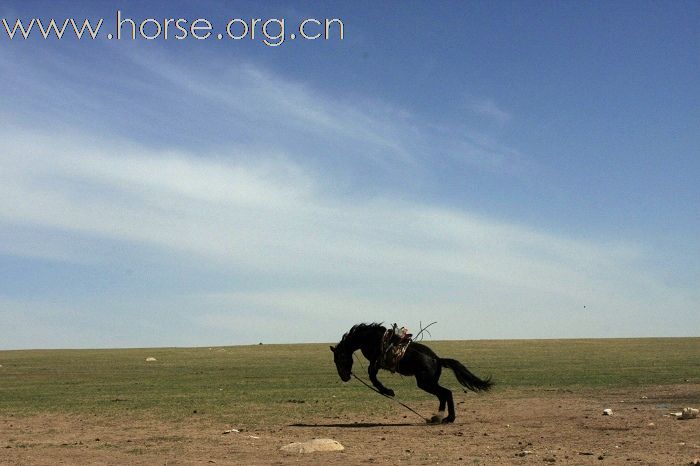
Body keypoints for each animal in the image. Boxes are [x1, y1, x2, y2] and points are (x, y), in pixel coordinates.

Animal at [330, 324, 490, 422]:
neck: (370, 338)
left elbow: (372, 376)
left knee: (446, 393)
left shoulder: (376, 362)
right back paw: (439, 417)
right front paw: (387, 391)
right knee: (443, 394)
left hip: (425, 383)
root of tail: (437, 359)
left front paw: (388, 391)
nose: (344, 377)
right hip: (429, 383)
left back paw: (447, 418)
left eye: (339, 359)